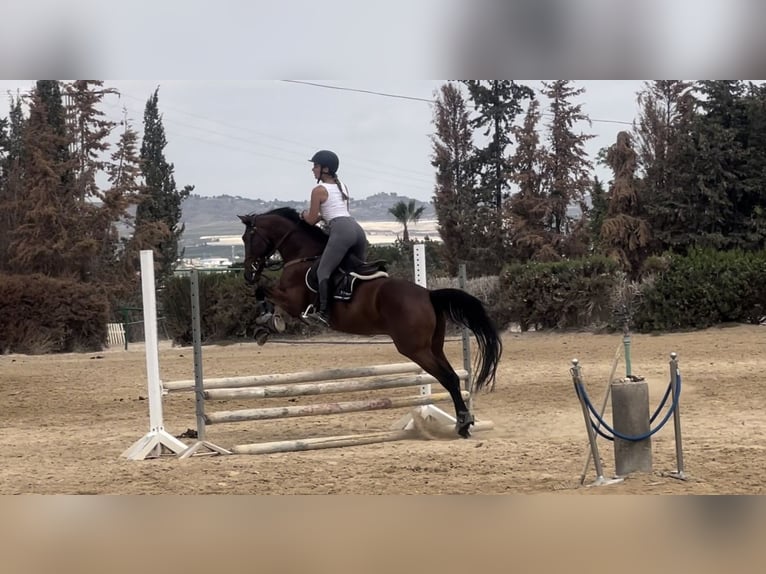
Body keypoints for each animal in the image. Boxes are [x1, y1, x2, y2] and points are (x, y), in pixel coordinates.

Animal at [238, 207, 502, 438]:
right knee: (453, 377)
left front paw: (266, 321)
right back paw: (464, 421)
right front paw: (268, 324)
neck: (302, 255)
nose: (248, 273)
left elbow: (262, 291)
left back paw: (462, 424)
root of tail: (428, 294)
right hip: (433, 346)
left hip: (414, 349)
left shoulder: (293, 301)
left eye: (246, 237)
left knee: (447, 378)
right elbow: (267, 297)